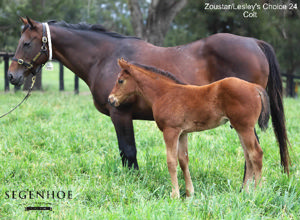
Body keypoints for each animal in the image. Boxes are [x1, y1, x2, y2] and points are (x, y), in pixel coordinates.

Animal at [108, 58, 270, 198]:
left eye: (120, 80)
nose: (111, 99)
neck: (164, 94)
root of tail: (254, 87)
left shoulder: (170, 131)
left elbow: (171, 161)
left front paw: (174, 195)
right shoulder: (182, 133)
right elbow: (183, 161)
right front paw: (189, 193)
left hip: (245, 128)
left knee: (256, 154)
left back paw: (257, 192)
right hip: (239, 128)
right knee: (248, 156)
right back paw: (246, 192)